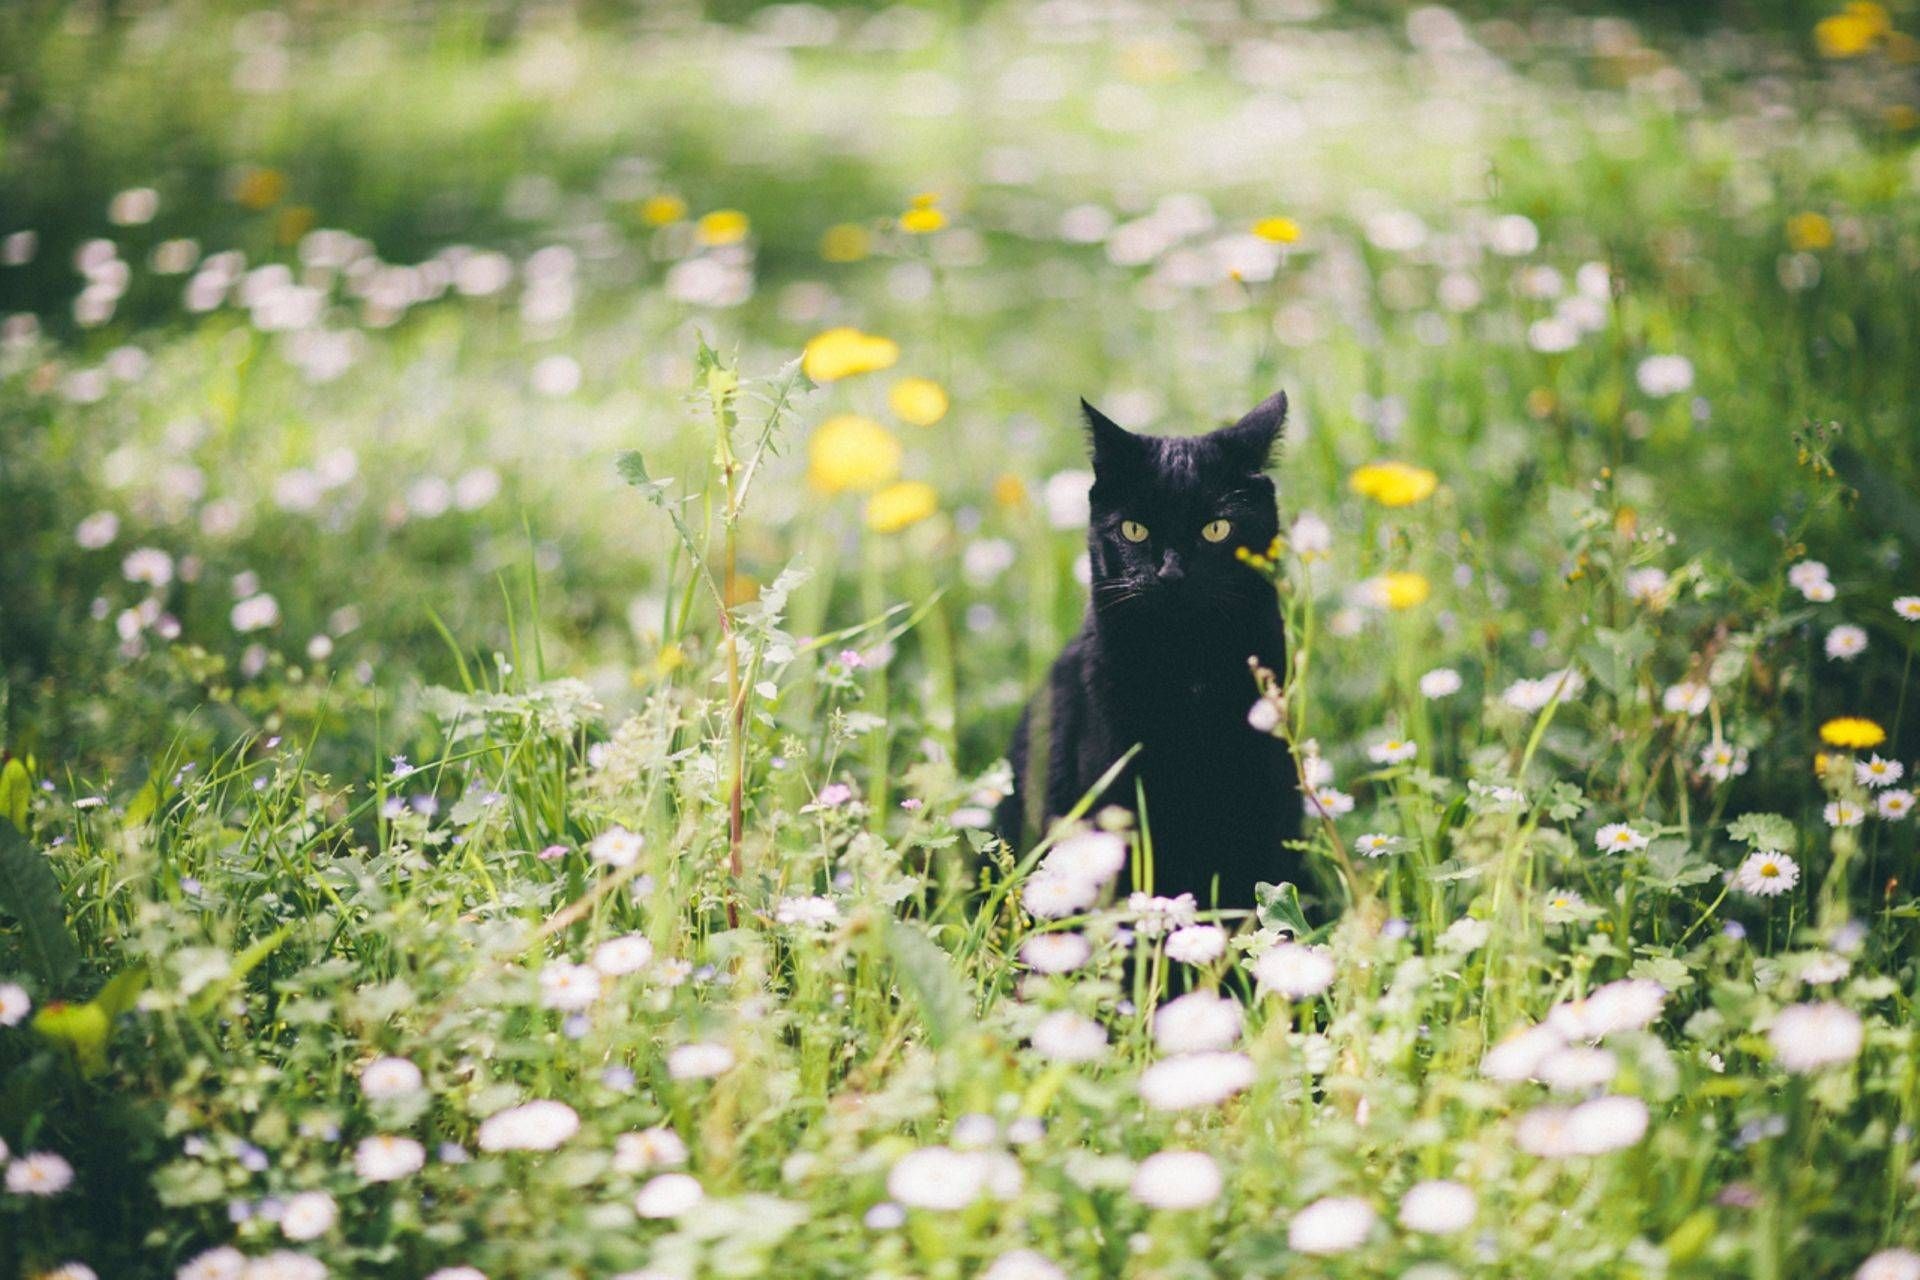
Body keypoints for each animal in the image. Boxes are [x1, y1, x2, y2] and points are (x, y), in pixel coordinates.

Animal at [998, 393, 1297, 909]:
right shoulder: (1114, 785)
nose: (1170, 573)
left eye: (1217, 529)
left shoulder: (1261, 785)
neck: (1187, 662)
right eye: (1134, 530)